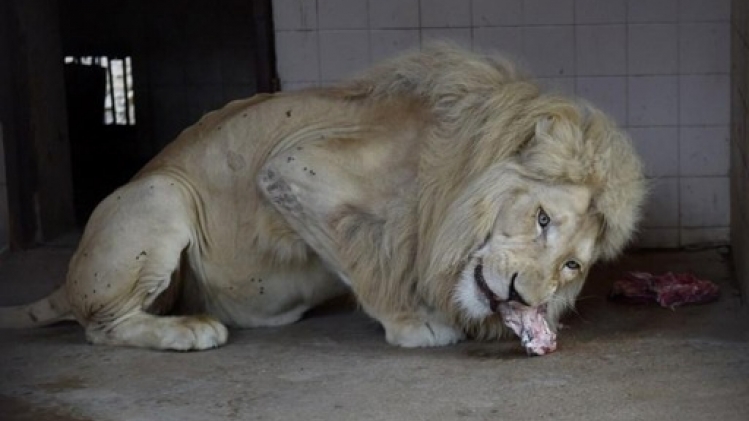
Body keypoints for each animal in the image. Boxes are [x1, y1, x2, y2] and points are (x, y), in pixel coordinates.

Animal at [0, 45, 645, 355]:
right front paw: (412, 322)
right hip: (161, 195)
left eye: (572, 266)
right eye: (541, 218)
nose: (523, 297)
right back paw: (189, 330)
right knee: (100, 326)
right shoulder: (292, 167)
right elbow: (363, 255)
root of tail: (68, 278)